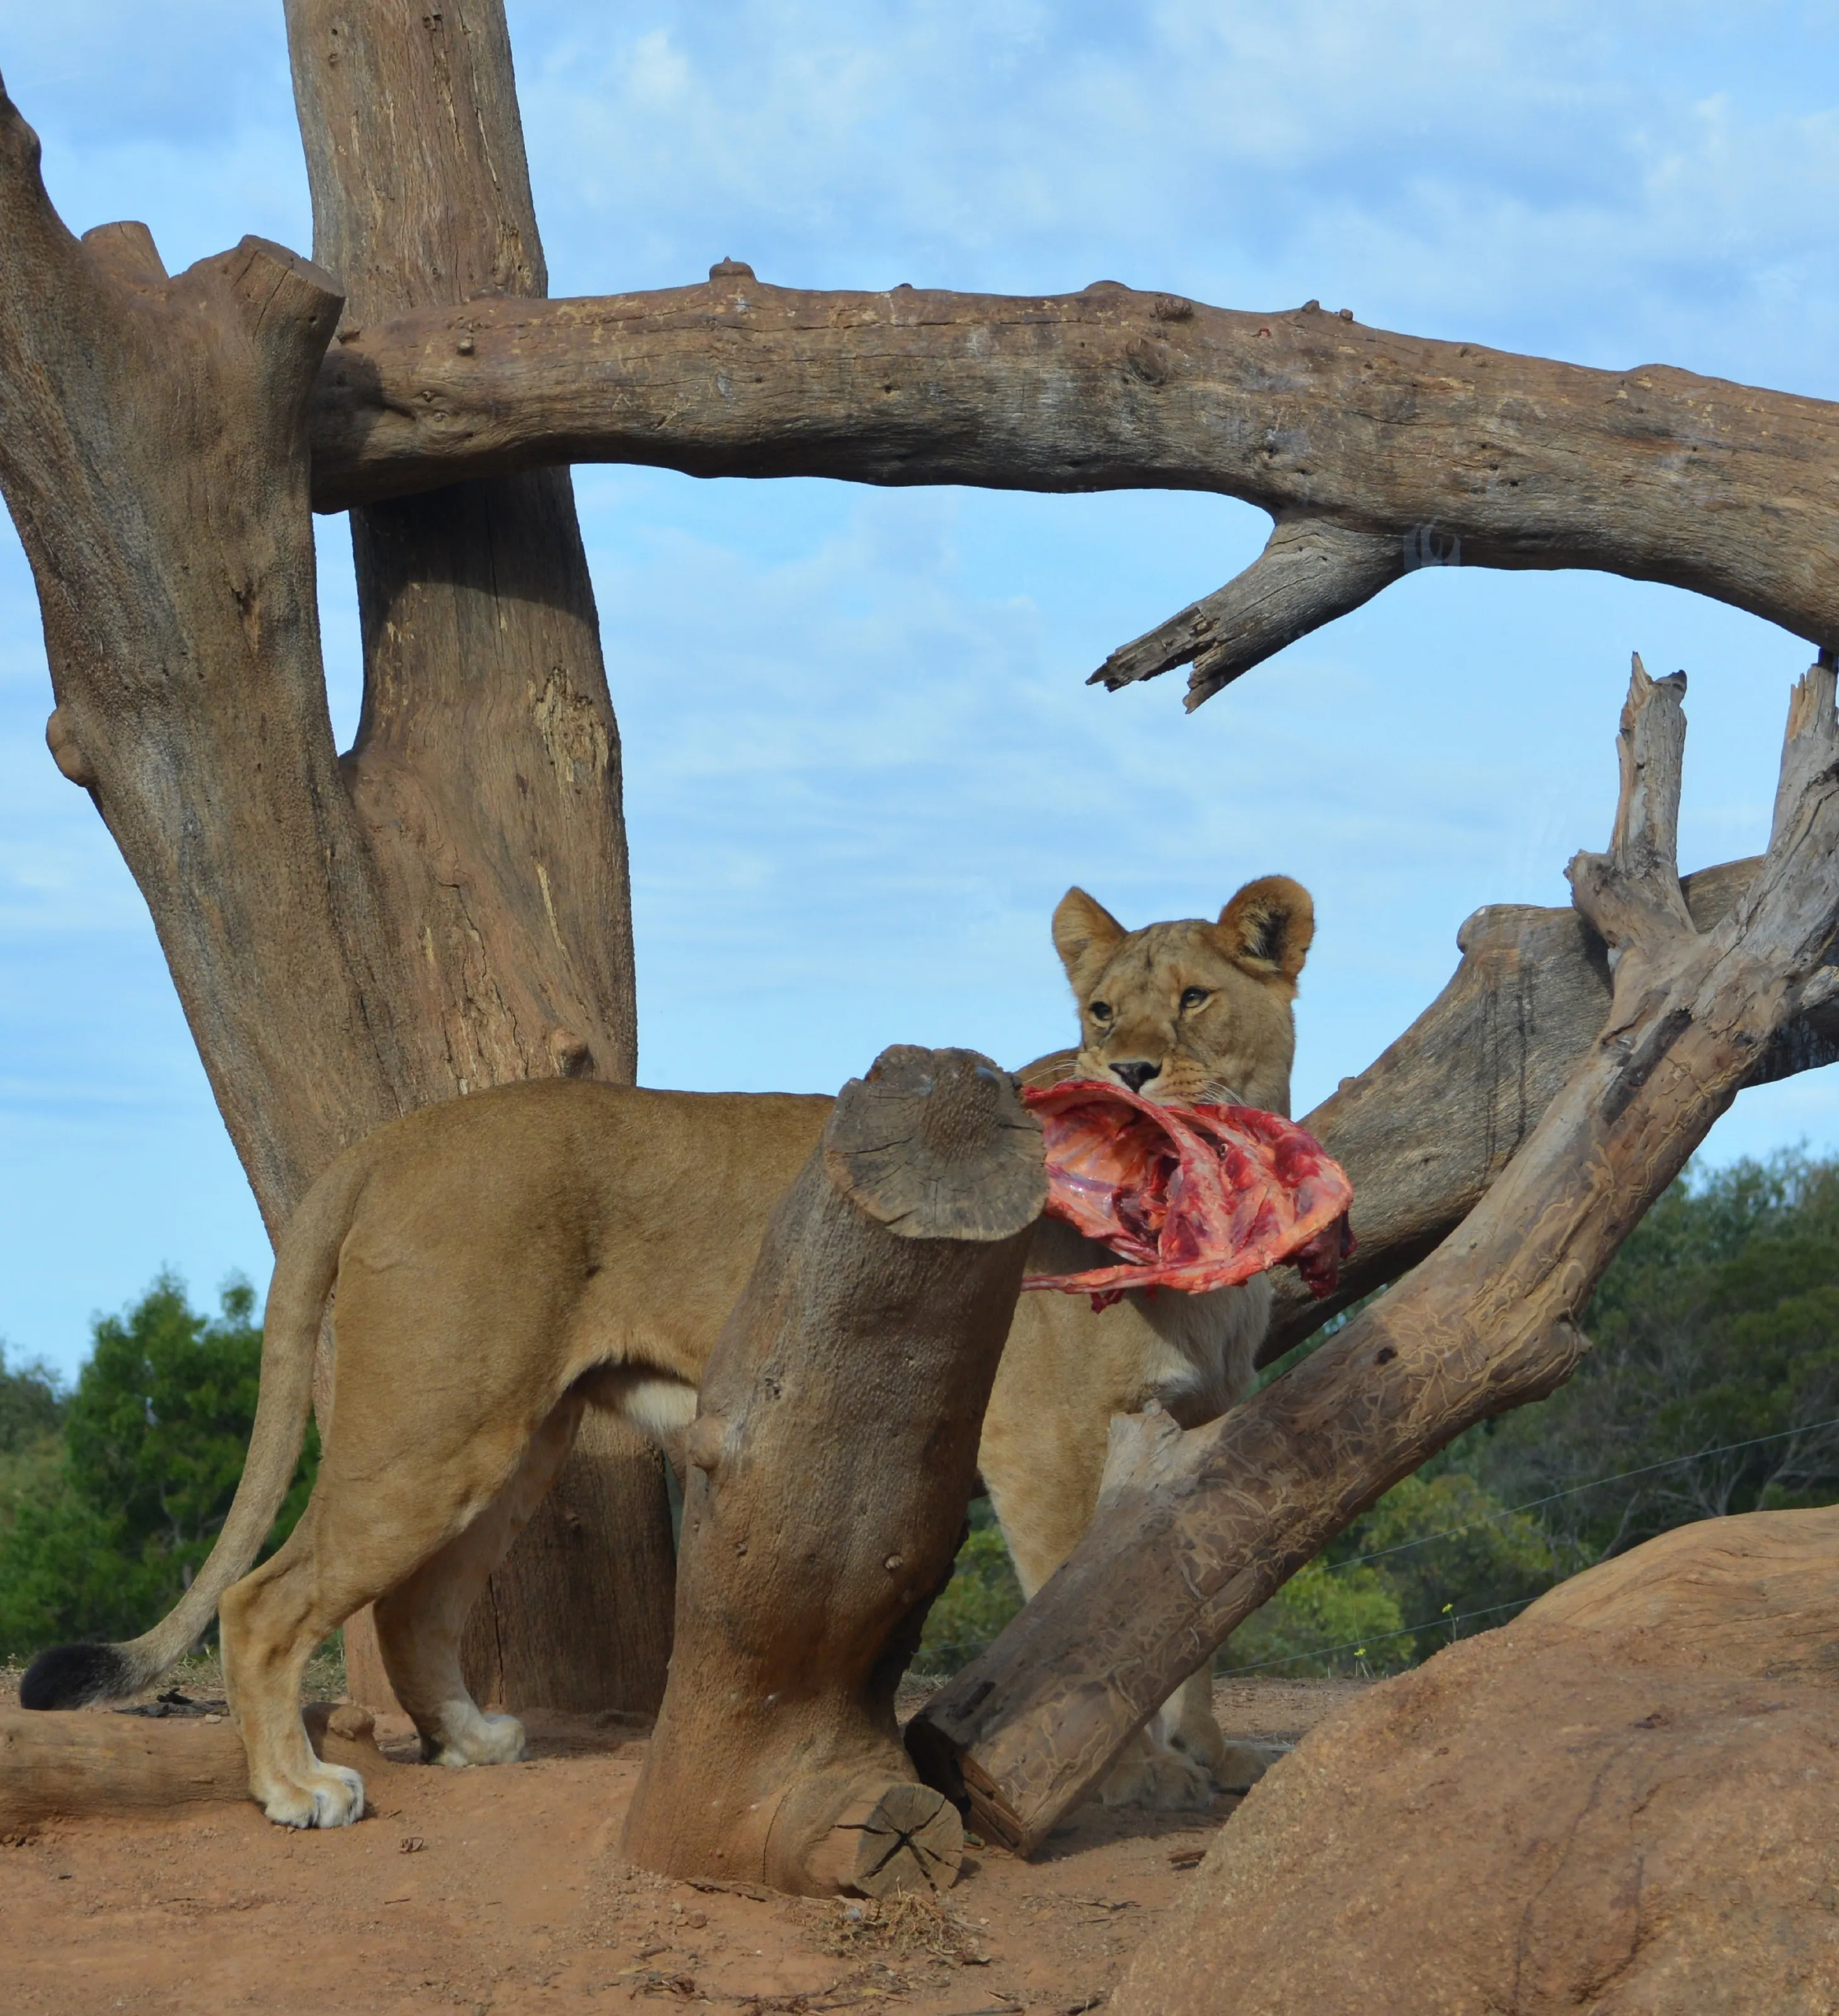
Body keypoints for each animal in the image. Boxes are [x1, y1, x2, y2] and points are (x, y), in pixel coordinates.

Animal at [22, 875, 1314, 1830]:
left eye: (1194, 999)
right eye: (1100, 1013)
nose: (1128, 1071)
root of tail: (398, 1135)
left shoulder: (1192, 1434)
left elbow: (1188, 1619)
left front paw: (1211, 1759)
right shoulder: (1042, 1443)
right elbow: (1074, 1618)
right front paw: (1130, 1783)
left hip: (511, 1448)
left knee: (413, 1604)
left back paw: (473, 1743)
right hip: (432, 1430)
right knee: (261, 1599)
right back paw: (295, 1790)